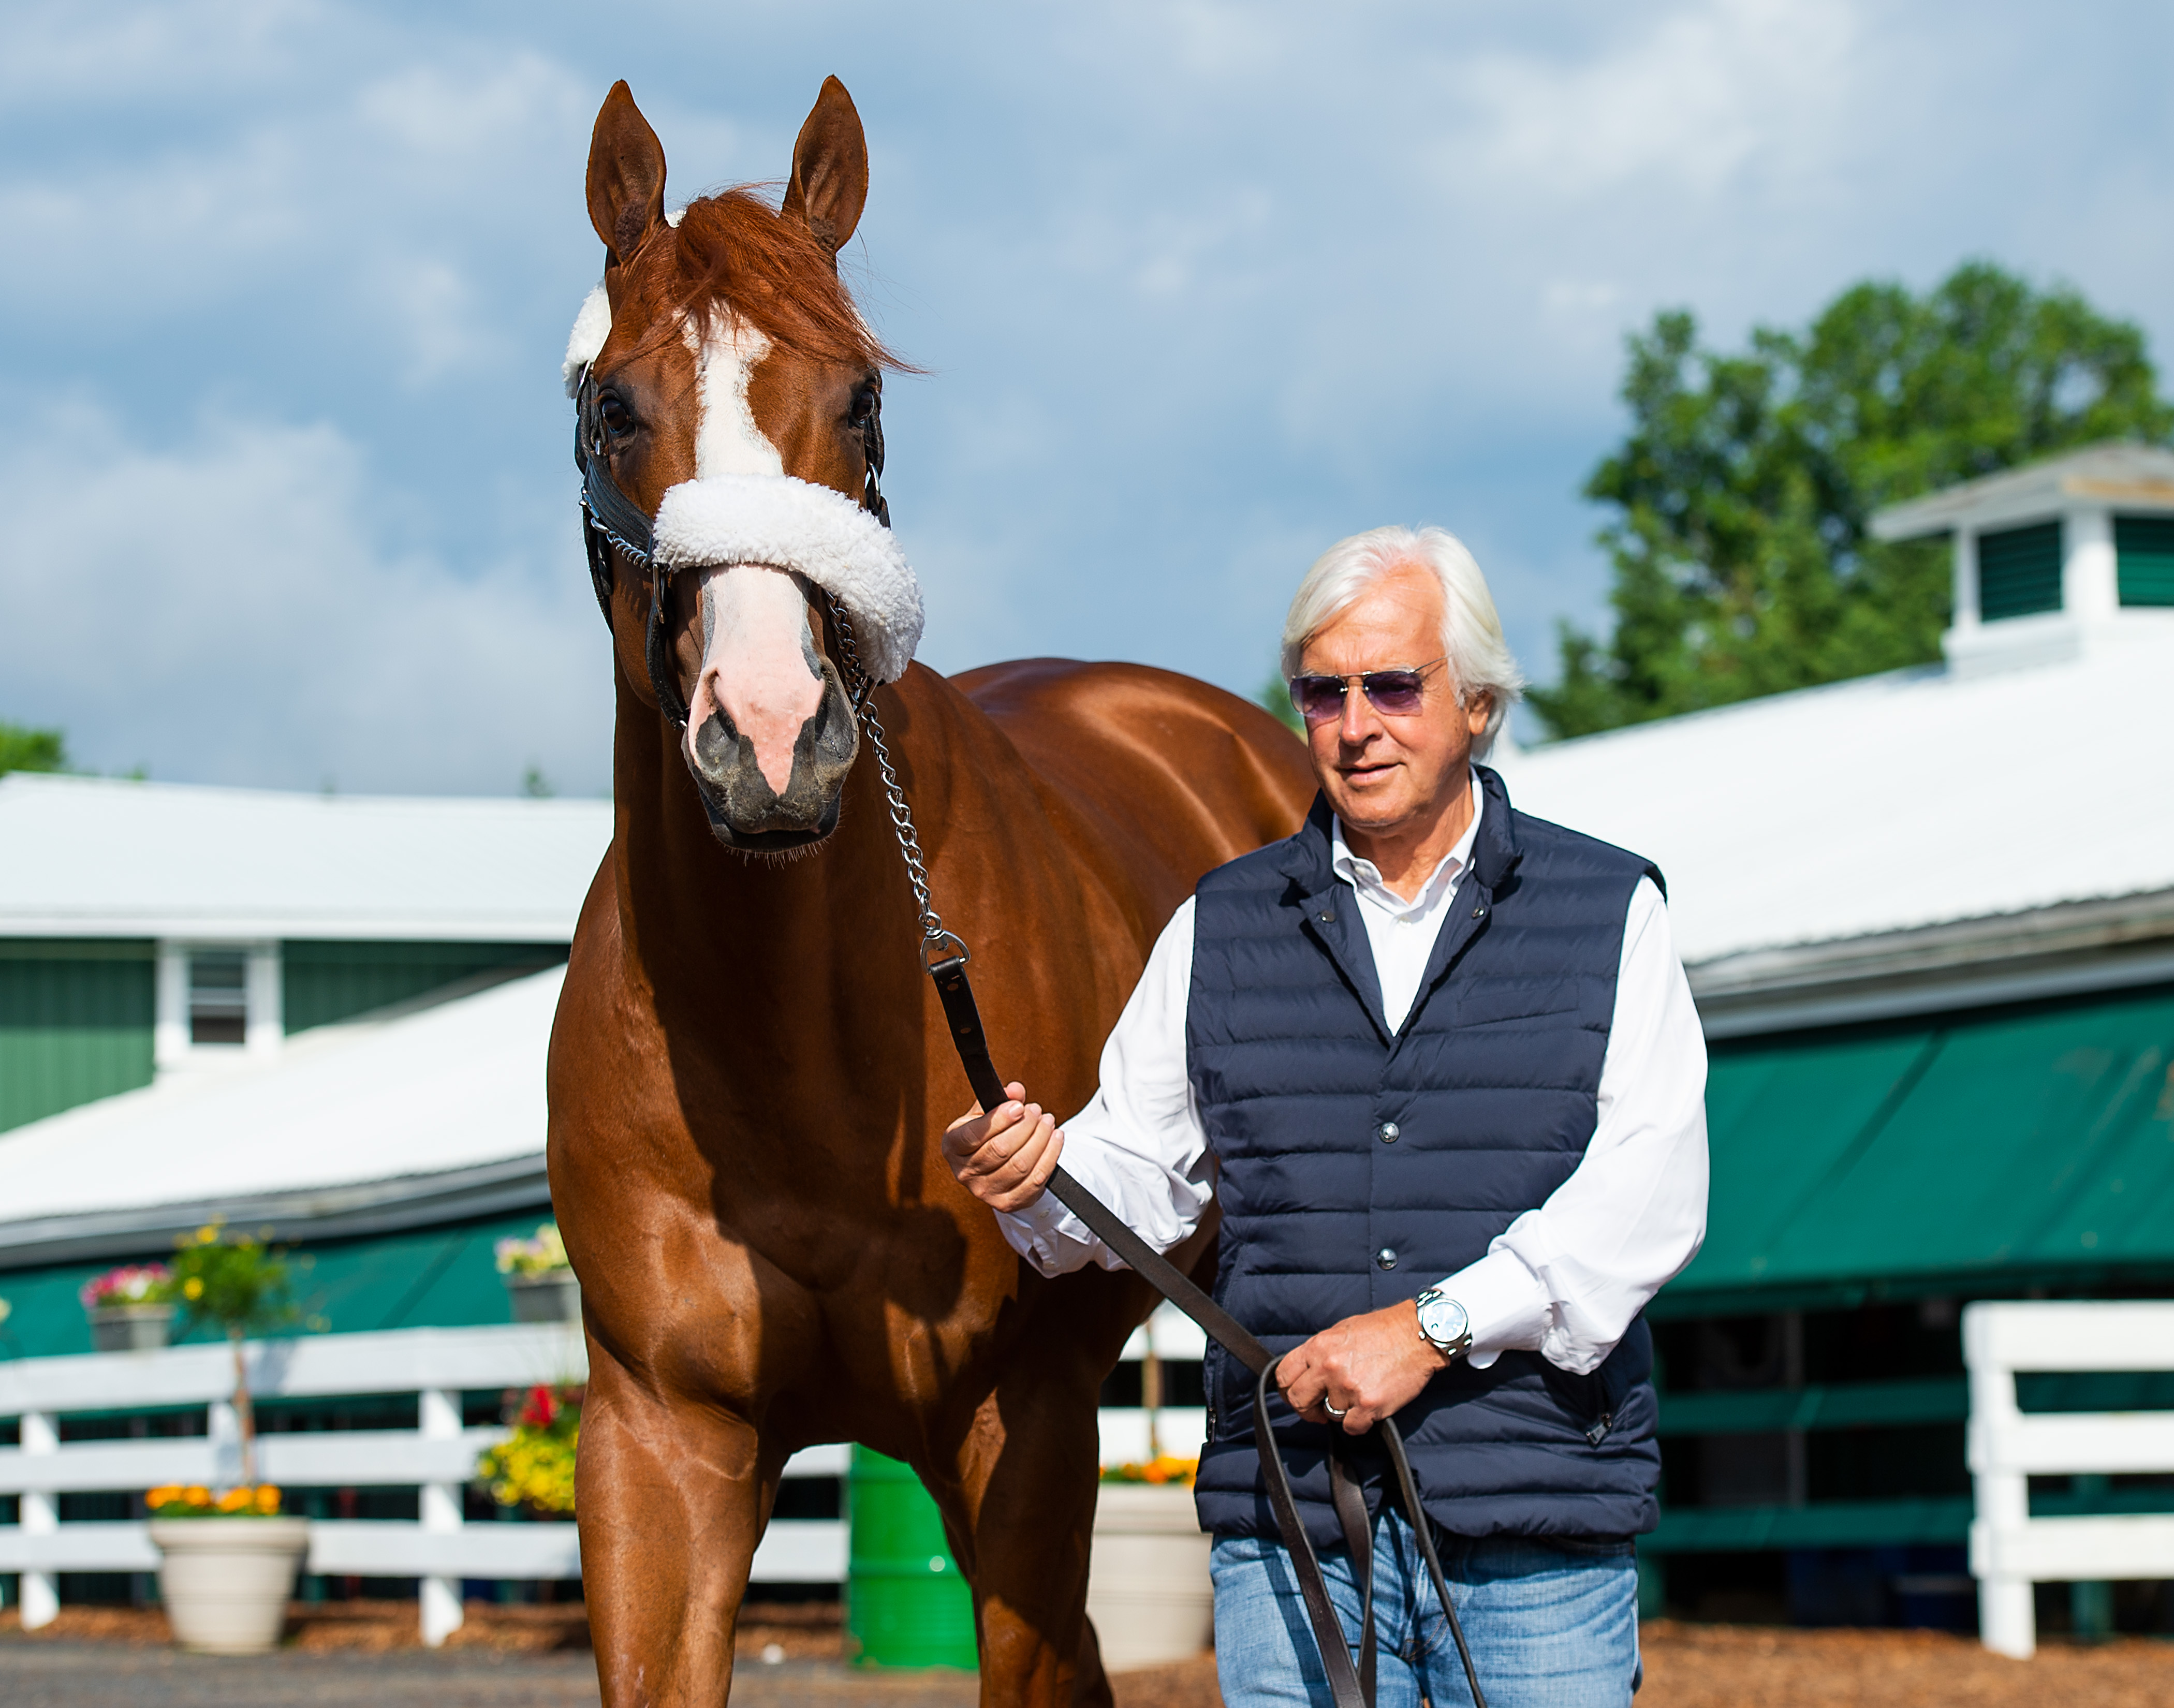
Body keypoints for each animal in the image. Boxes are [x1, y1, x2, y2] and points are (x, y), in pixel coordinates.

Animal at [548, 73, 1304, 1695]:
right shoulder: (660, 1444)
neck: (794, 1054)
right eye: (613, 405)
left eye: (861, 401)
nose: (772, 736)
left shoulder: (1019, 1430)